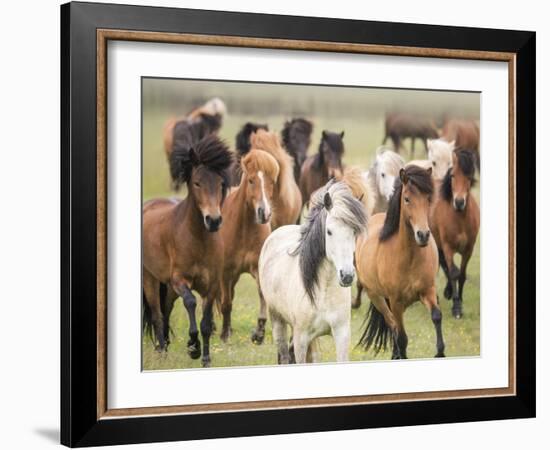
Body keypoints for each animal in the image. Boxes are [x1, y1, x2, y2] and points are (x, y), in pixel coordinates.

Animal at [142, 135, 233, 368]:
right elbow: (191, 302)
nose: (213, 220)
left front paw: (206, 358)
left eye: (221, 183)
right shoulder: (179, 279)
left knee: (165, 311)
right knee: (157, 315)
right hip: (151, 279)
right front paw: (193, 347)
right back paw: (162, 352)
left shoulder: (211, 285)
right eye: (197, 183)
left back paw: (164, 347)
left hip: (168, 289)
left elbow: (206, 322)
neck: (198, 239)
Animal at [219, 149, 280, 342]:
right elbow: (226, 303)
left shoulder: (257, 269)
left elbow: (262, 295)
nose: (264, 213)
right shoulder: (225, 272)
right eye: (251, 180)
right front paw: (225, 335)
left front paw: (259, 333)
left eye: (271, 182)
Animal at [260, 181, 368, 364]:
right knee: (284, 355)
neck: (323, 291)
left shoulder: (341, 334)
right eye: (329, 231)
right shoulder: (300, 339)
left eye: (354, 232)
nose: (347, 276)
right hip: (277, 321)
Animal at [356, 165, 446, 358]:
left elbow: (436, 316)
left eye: (429, 198)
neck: (409, 258)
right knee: (392, 325)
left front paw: (440, 352)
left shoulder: (428, 290)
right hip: (377, 297)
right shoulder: (396, 302)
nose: (423, 235)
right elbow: (402, 337)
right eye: (407, 199)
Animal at [434, 149, 480, 318]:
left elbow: (462, 274)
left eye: (469, 177)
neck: (460, 218)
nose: (459, 202)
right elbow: (454, 272)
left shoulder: (468, 250)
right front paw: (456, 308)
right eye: (453, 175)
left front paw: (459, 300)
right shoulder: (448, 246)